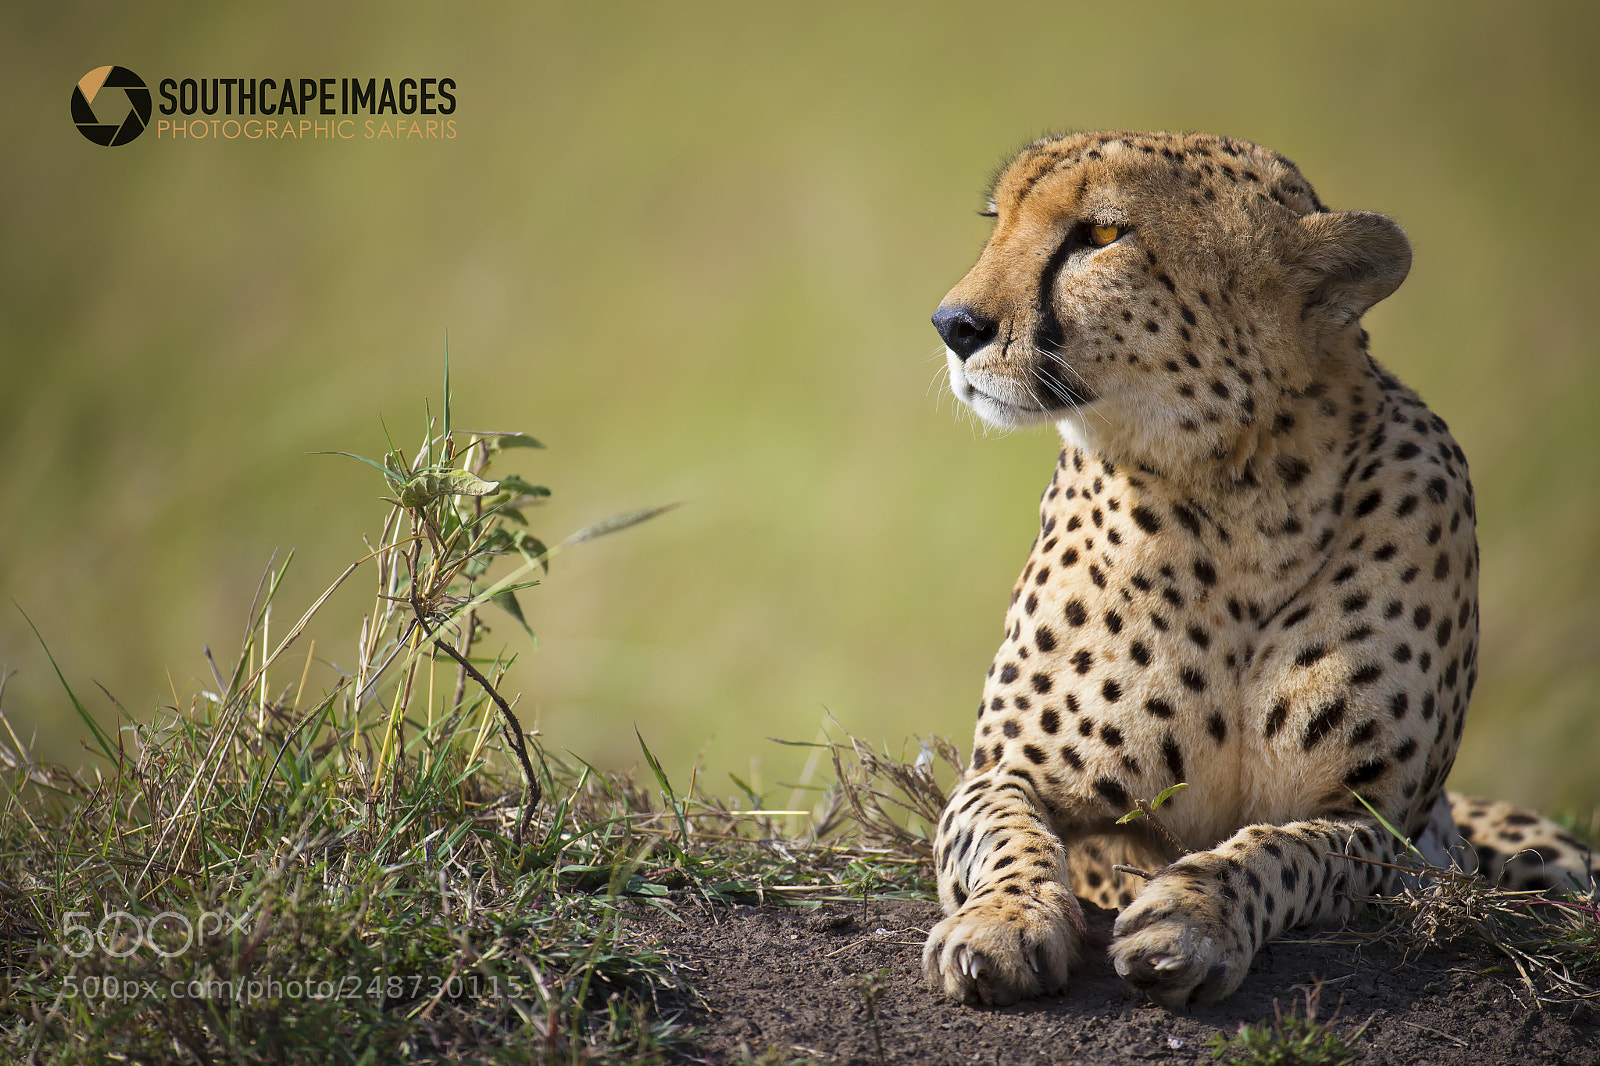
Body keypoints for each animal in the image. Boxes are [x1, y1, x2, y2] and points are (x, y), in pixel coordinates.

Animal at [922, 129, 1596, 1010]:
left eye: (1102, 234)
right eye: (995, 220)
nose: (954, 324)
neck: (1235, 504)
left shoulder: (1377, 823)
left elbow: (1281, 847)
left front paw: (1193, 916)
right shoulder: (1007, 769)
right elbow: (1004, 831)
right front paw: (1003, 921)